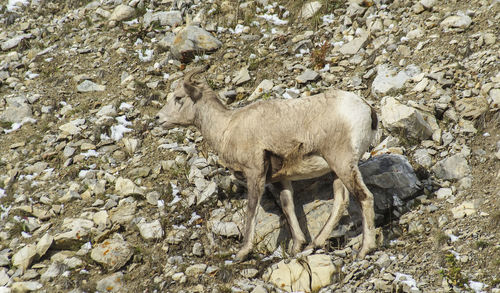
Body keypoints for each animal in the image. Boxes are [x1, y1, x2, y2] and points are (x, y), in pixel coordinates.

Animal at [156, 68, 378, 260]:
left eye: (179, 98)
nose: (158, 118)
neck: (227, 128)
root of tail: (366, 109)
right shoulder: (281, 180)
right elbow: (288, 207)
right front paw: (296, 246)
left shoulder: (255, 173)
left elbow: (251, 210)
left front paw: (242, 253)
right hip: (336, 171)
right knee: (341, 201)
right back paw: (314, 244)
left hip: (342, 164)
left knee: (364, 197)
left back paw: (363, 250)